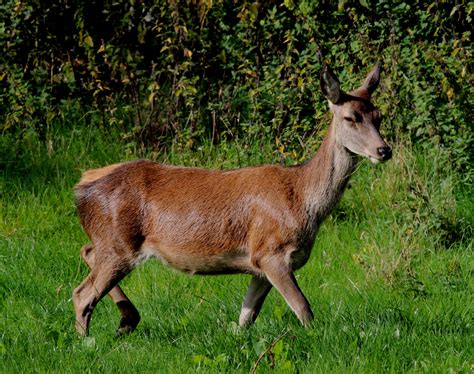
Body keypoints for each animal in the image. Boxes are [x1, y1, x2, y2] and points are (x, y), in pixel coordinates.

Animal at [73, 64, 392, 336]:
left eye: (379, 116)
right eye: (351, 118)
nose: (383, 150)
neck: (303, 201)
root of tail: (79, 186)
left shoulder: (258, 263)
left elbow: (245, 318)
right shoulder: (272, 251)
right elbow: (304, 309)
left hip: (111, 242)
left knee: (86, 252)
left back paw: (127, 320)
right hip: (118, 243)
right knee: (81, 294)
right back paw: (88, 341)